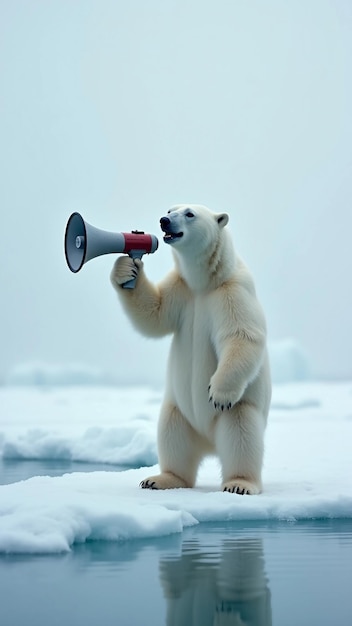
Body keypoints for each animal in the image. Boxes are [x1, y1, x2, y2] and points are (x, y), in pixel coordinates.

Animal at [111, 205, 270, 492]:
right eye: (169, 209)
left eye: (189, 213)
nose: (164, 221)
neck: (205, 282)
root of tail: (208, 443)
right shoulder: (182, 289)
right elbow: (155, 313)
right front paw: (125, 269)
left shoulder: (232, 291)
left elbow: (241, 336)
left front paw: (218, 393)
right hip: (179, 409)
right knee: (172, 435)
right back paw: (159, 479)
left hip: (239, 408)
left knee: (241, 435)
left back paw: (239, 484)